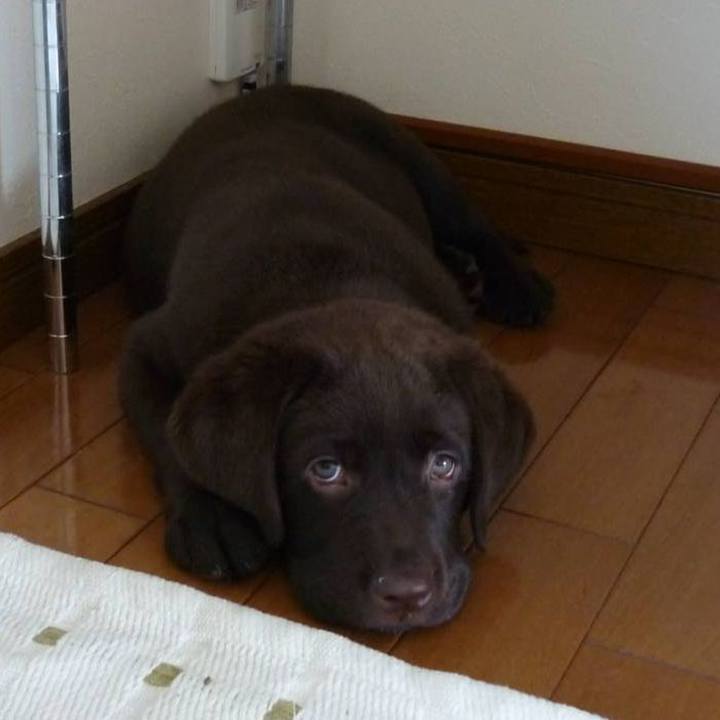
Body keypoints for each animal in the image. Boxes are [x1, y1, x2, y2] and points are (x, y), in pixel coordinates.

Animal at [119, 85, 553, 633]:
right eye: (325, 470)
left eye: (445, 465)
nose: (407, 595)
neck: (329, 282)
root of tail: (274, 88)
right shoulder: (148, 345)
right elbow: (168, 435)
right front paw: (213, 520)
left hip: (420, 164)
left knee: (477, 225)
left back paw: (514, 286)